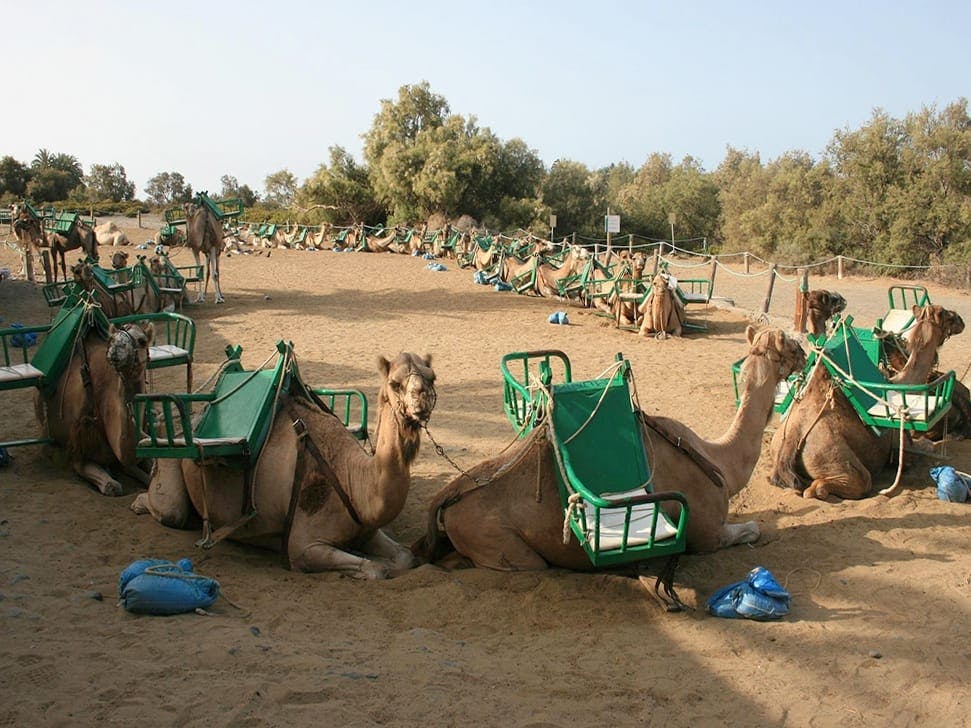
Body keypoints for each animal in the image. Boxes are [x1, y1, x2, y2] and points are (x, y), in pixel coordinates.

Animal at [131, 350, 438, 576]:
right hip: (172, 466)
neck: (352, 480)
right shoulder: (300, 547)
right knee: (170, 511)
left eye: (432, 377)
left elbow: (406, 557)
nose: (421, 399)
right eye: (395, 383)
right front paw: (363, 568)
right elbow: (376, 569)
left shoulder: (367, 530)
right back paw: (137, 502)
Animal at [418, 326, 804, 580]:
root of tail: (447, 497)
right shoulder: (707, 535)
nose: (803, 352)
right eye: (787, 342)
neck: (719, 462)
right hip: (499, 543)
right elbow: (752, 529)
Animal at [772, 302, 968, 500]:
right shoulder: (901, 447)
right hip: (829, 455)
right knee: (843, 483)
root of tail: (791, 439)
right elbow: (923, 449)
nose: (961, 320)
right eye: (947, 315)